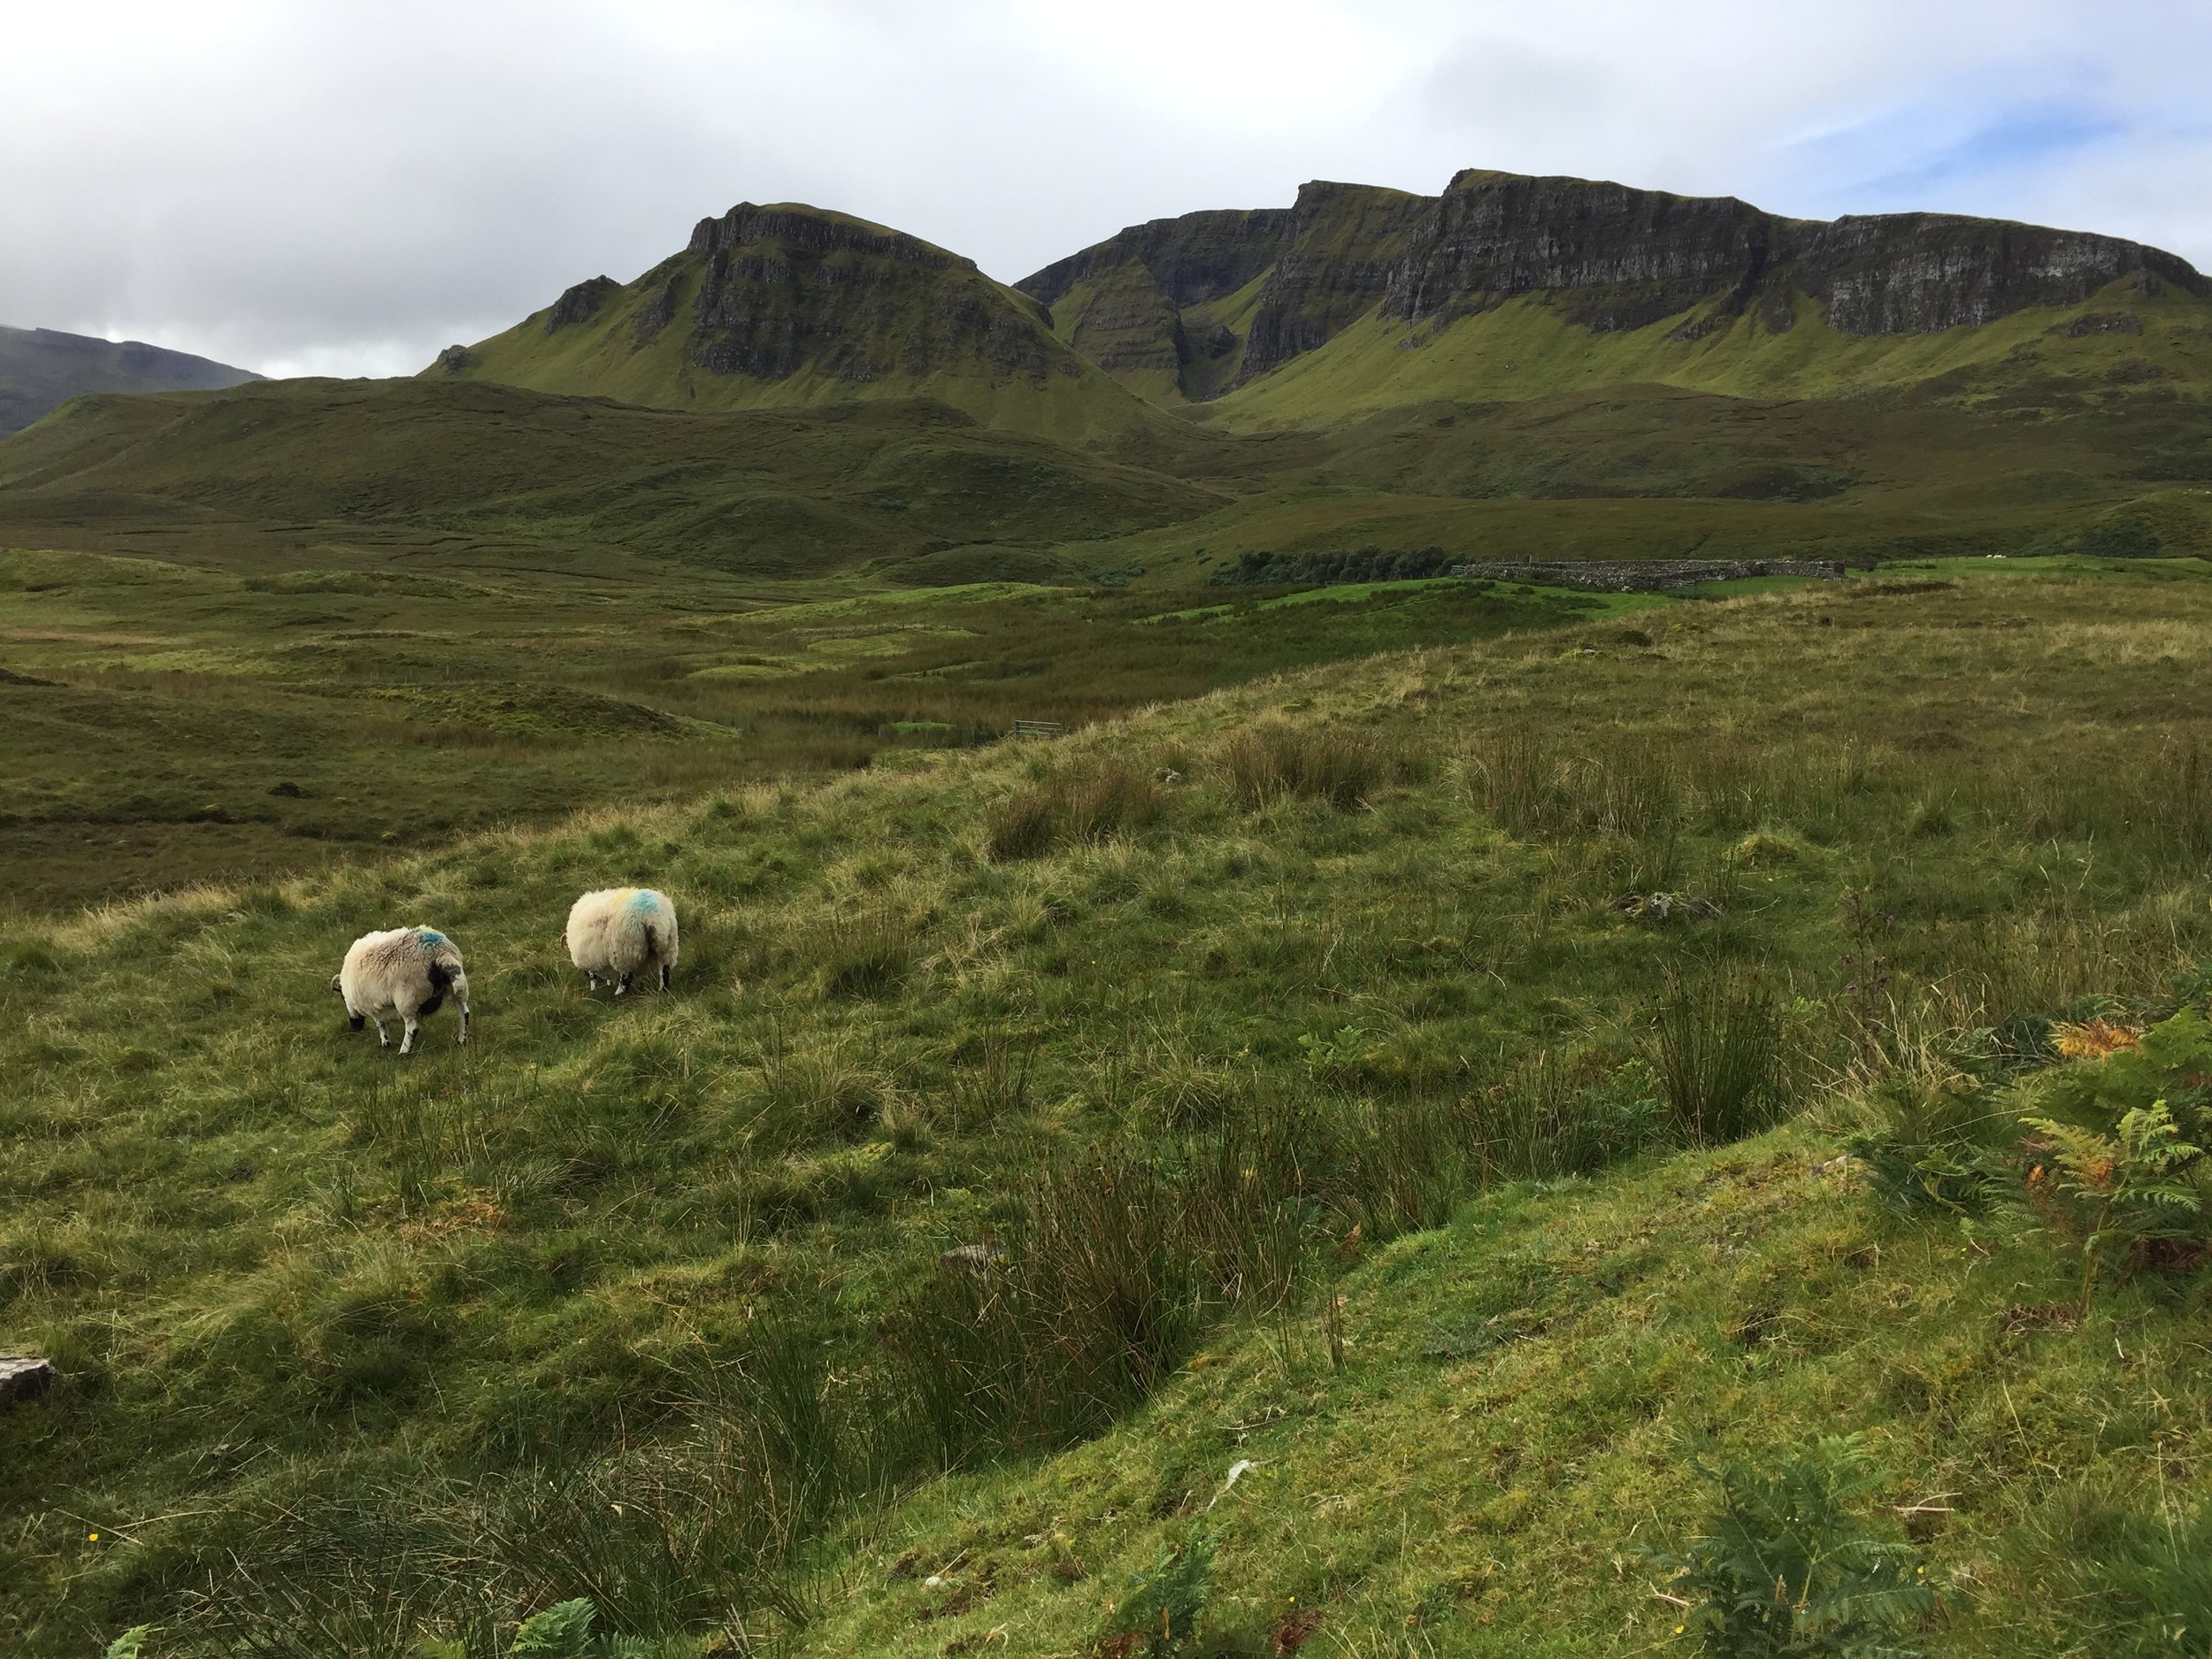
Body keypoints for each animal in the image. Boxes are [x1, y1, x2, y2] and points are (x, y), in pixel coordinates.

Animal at [332, 929, 471, 1057]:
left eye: (342, 998)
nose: (355, 1027)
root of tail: (440, 952)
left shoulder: (373, 1006)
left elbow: (381, 1024)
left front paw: (385, 1043)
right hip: (456, 989)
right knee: (464, 1013)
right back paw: (461, 1040)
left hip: (408, 998)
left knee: (412, 1027)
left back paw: (404, 1052)